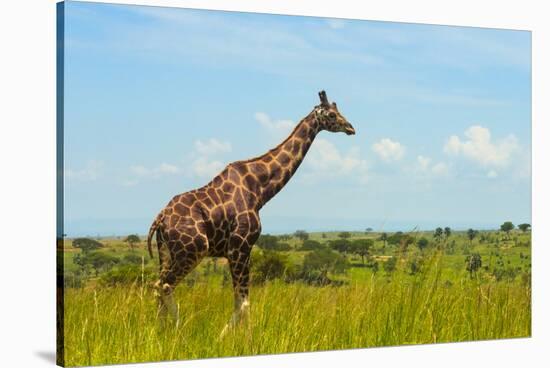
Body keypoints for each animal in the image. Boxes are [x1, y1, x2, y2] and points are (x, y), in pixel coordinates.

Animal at [147, 91, 356, 334]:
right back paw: (179, 329)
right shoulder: (240, 246)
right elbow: (244, 301)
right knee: (165, 285)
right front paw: (231, 337)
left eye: (339, 111)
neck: (259, 190)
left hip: (166, 252)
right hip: (194, 249)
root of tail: (160, 218)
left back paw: (159, 330)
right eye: (332, 114)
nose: (351, 128)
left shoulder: (238, 250)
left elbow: (240, 300)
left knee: (157, 286)